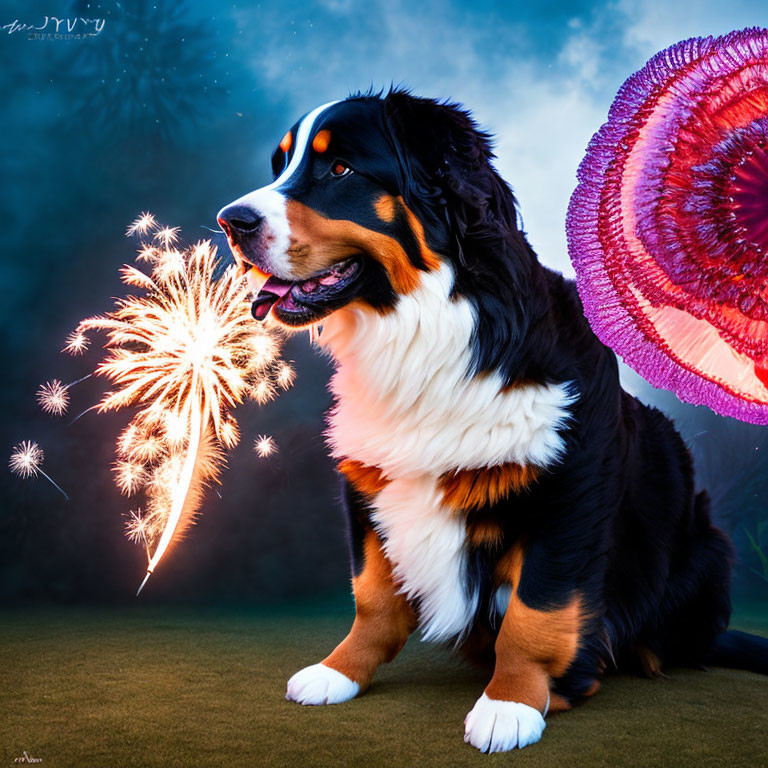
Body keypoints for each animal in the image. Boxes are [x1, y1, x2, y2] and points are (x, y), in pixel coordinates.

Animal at [219, 88, 764, 752]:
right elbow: (372, 596)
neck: (426, 329)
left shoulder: (568, 489)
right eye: (281, 166)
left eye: (340, 169)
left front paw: (512, 703)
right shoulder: (367, 477)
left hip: (706, 547)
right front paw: (338, 672)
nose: (230, 221)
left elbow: (537, 612)